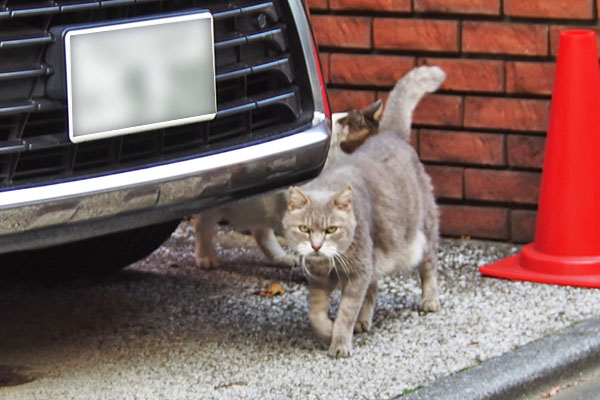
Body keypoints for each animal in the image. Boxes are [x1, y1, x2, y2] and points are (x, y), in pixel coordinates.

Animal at [282, 65, 446, 356]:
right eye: (303, 229)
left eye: (331, 229)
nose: (316, 246)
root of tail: (391, 134)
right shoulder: (319, 280)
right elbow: (315, 313)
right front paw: (328, 329)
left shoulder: (359, 273)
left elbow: (347, 311)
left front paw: (339, 341)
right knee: (374, 288)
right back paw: (364, 321)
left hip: (423, 232)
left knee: (428, 267)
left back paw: (429, 300)